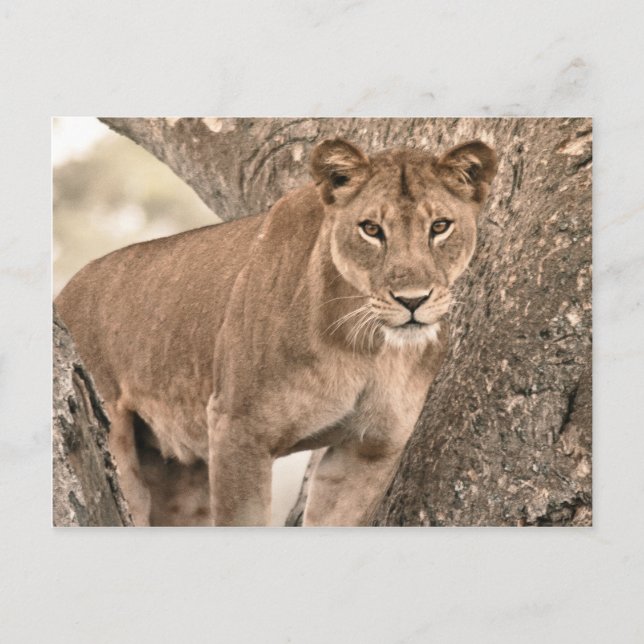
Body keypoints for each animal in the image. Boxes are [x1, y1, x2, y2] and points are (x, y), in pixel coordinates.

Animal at [55, 137, 497, 526]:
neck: (366, 345)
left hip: (183, 480)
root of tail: (63, 293)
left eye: (440, 226)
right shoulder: (238, 430)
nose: (412, 300)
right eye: (371, 229)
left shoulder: (370, 449)